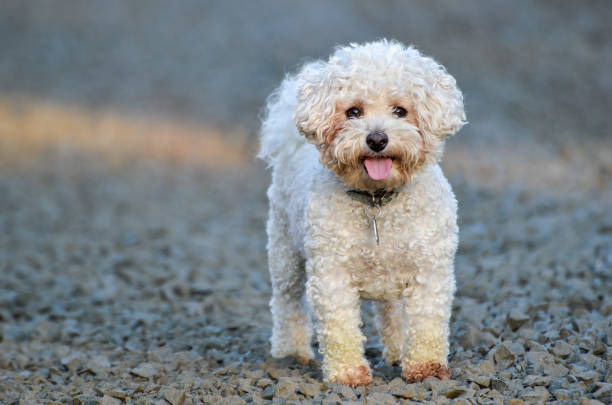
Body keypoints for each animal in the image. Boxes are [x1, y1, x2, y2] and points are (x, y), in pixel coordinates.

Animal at [256, 40, 464, 386]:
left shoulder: (429, 271)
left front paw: (425, 367)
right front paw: (348, 373)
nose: (377, 139)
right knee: (287, 301)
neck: (378, 200)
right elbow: (339, 327)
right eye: (353, 111)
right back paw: (290, 351)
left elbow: (426, 322)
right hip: (284, 251)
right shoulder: (331, 274)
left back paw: (397, 350)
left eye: (400, 110)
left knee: (392, 312)